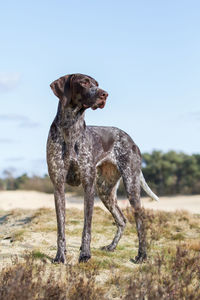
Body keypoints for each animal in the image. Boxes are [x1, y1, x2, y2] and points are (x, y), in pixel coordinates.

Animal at [46, 72, 159, 262]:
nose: (104, 94)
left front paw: (85, 254)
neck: (71, 127)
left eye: (97, 83)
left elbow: (87, 229)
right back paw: (111, 247)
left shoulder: (88, 187)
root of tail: (129, 138)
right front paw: (60, 256)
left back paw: (142, 255)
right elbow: (61, 228)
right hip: (105, 191)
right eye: (84, 82)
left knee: (140, 221)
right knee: (122, 220)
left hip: (131, 186)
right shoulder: (58, 187)